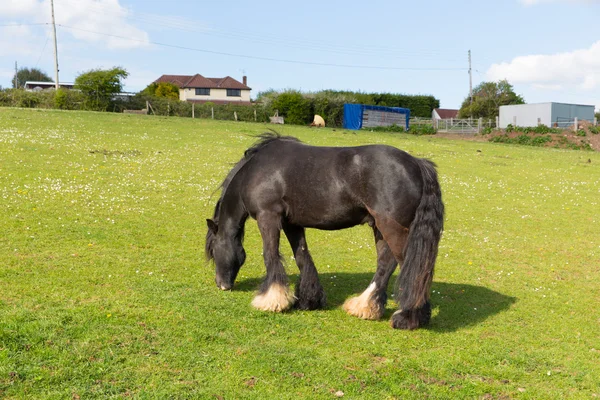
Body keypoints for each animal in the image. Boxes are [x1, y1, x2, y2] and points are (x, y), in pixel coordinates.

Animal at [206, 133, 446, 330]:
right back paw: (365, 306)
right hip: (379, 226)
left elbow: (270, 254)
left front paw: (271, 299)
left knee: (413, 268)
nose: (221, 284)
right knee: (386, 263)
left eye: (214, 251)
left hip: (391, 227)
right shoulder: (292, 223)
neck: (255, 170)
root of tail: (417, 163)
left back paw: (408, 317)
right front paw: (308, 300)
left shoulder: (269, 217)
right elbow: (302, 256)